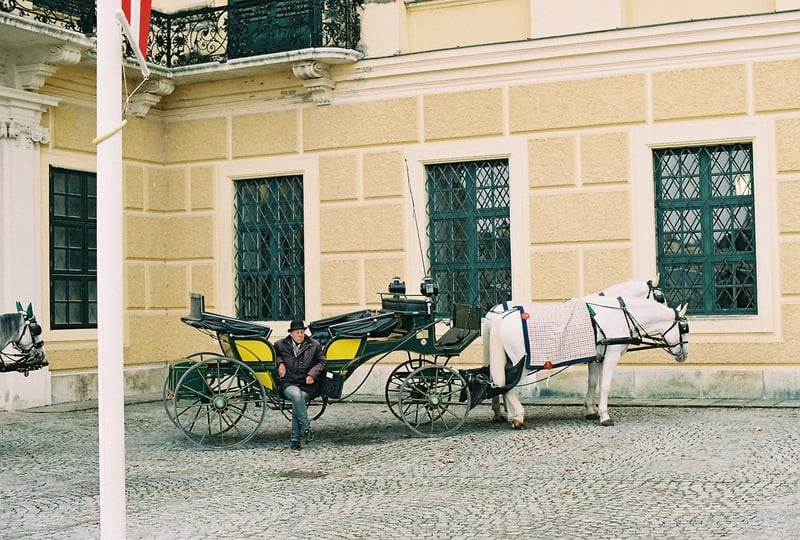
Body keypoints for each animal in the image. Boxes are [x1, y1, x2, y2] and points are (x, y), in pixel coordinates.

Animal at [484, 294, 684, 428]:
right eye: (684, 328)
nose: (684, 354)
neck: (620, 315)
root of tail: (501, 317)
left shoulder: (597, 358)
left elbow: (593, 382)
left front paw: (591, 411)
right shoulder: (611, 354)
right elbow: (605, 385)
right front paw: (604, 415)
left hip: (508, 361)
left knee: (500, 384)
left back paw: (510, 415)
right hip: (522, 364)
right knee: (508, 386)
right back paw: (517, 417)